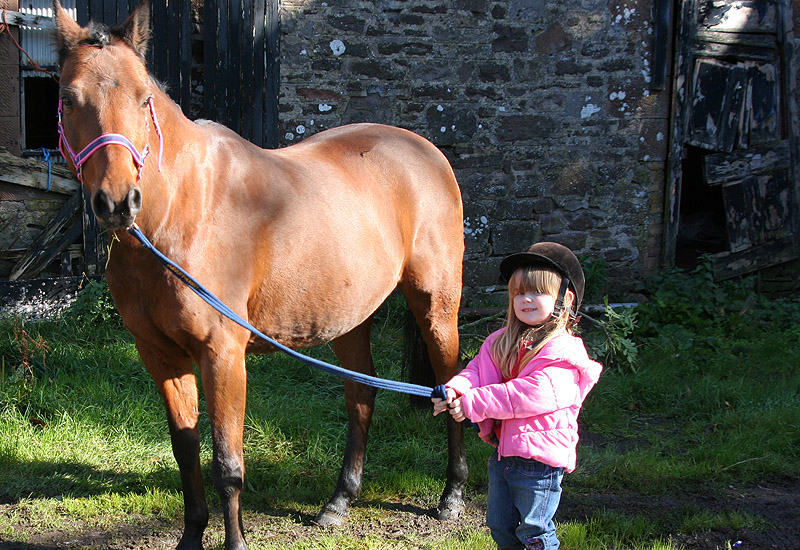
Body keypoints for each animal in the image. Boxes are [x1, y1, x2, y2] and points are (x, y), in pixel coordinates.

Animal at [53, 2, 468, 548]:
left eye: (144, 98)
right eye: (68, 97)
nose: (118, 202)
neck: (181, 215)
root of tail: (427, 151)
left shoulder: (223, 354)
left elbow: (227, 464)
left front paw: (235, 540)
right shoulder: (160, 355)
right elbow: (186, 452)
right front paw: (191, 536)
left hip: (435, 303)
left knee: (449, 386)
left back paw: (451, 496)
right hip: (351, 318)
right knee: (361, 396)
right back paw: (338, 502)